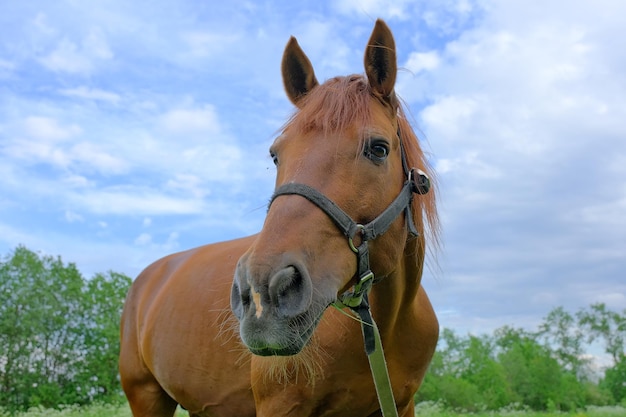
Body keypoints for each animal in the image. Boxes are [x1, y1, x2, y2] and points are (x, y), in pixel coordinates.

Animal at [119, 19, 436, 416]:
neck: (388, 324)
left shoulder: (403, 404)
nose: (261, 294)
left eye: (378, 149)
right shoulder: (281, 405)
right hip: (146, 395)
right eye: (275, 155)